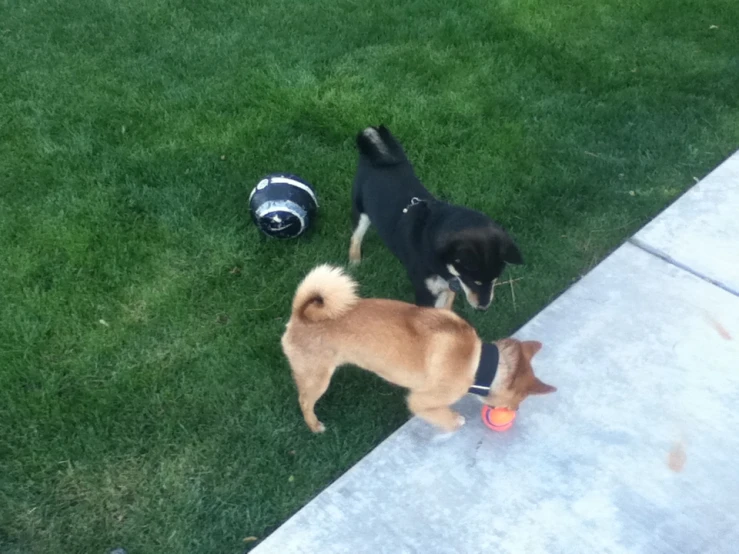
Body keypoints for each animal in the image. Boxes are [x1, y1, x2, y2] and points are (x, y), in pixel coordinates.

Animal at [282, 264, 556, 432]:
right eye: (515, 403)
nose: (513, 412)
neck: (479, 363)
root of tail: (300, 315)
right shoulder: (421, 399)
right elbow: (441, 414)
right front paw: (454, 420)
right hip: (317, 378)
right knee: (304, 401)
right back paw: (314, 425)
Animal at [350, 123, 524, 308]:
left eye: (495, 279)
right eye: (474, 281)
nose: (483, 307)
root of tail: (379, 155)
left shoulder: (449, 286)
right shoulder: (426, 290)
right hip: (362, 212)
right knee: (356, 236)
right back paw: (354, 260)